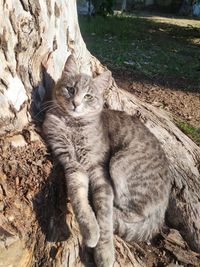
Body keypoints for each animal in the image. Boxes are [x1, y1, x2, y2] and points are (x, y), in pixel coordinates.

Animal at [42, 55, 170, 267]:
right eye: (71, 89)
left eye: (88, 96)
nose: (75, 103)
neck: (73, 125)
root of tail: (164, 205)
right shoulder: (72, 164)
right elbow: (79, 200)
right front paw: (90, 229)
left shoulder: (99, 169)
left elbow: (104, 213)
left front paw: (104, 251)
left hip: (119, 162)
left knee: (135, 212)